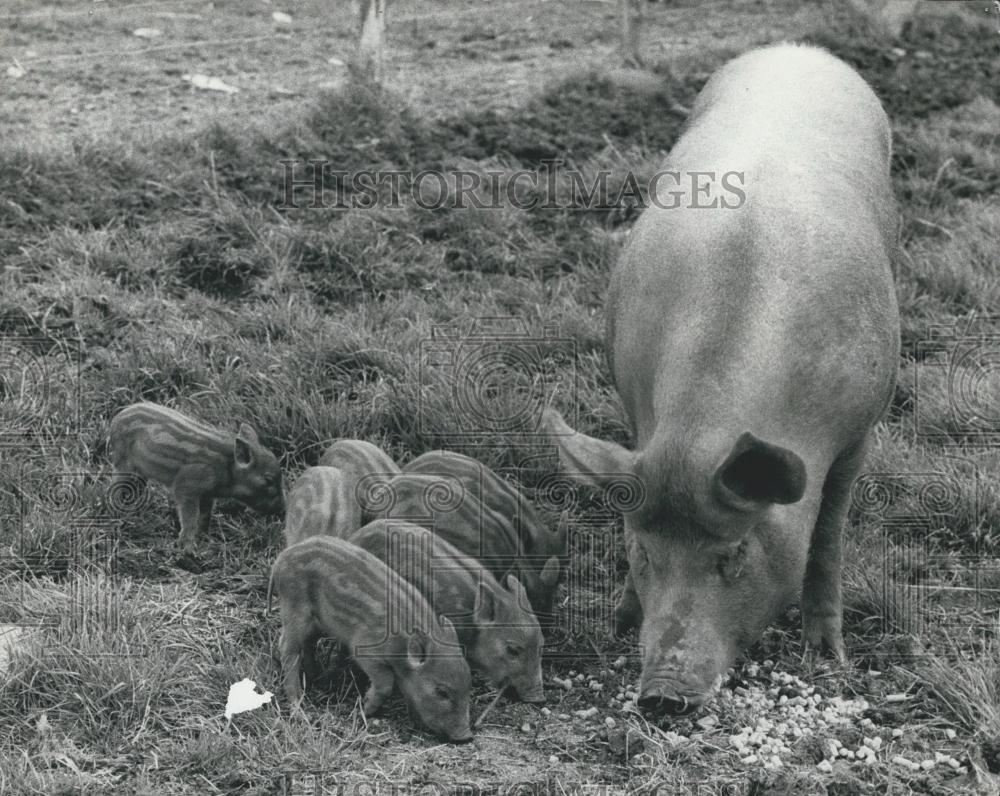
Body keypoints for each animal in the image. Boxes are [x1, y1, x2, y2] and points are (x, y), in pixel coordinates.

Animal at [544, 43, 904, 716]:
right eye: (643, 552)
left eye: (732, 554)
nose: (662, 695)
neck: (702, 428)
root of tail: (794, 49)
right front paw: (619, 622)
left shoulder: (860, 428)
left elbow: (828, 536)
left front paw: (828, 656)